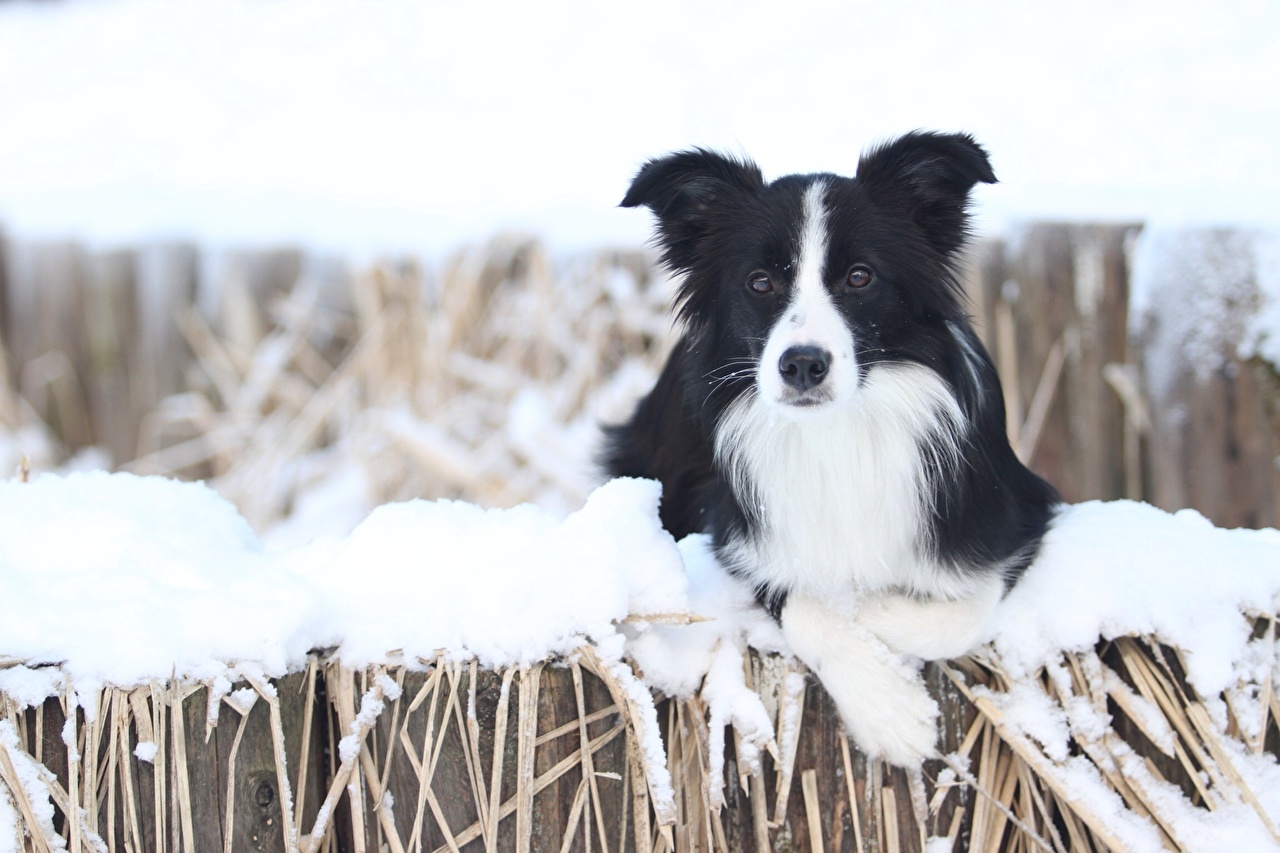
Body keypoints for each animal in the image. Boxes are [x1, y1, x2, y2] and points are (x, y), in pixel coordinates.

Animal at [604, 131, 1064, 763]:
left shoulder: (1016, 513)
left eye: (861, 277)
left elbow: (966, 609)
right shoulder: (734, 532)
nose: (802, 364)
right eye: (761, 282)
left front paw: (874, 608)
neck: (838, 432)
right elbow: (804, 605)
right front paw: (890, 711)